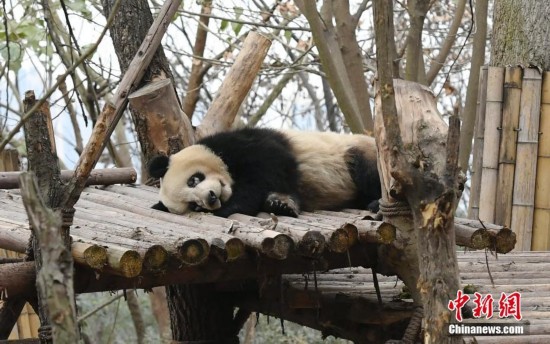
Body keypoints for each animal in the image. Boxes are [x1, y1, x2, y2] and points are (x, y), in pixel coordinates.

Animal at [149, 127, 382, 219]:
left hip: (358, 151)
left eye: (193, 180)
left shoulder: (246, 144)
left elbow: (268, 167)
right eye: (193, 205)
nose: (211, 198)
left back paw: (377, 202)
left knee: (366, 169)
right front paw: (280, 204)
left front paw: (230, 206)